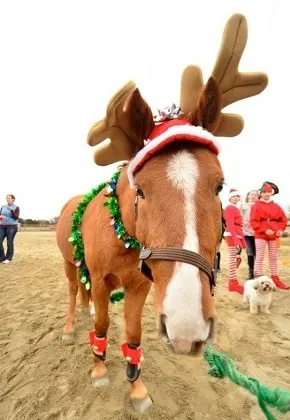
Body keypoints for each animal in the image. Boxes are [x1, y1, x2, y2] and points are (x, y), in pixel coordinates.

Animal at [55, 14, 268, 412]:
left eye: (219, 185)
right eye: (140, 188)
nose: (188, 328)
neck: (123, 235)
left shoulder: (140, 287)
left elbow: (134, 335)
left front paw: (137, 387)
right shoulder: (103, 281)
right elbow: (103, 326)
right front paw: (99, 369)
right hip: (69, 264)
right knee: (76, 292)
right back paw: (69, 327)